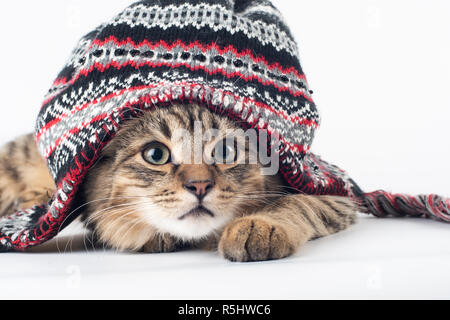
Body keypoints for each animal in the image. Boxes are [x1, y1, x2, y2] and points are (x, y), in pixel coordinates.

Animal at [0, 105, 356, 262]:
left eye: (225, 151)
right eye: (156, 154)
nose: (199, 186)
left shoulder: (335, 191)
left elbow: (295, 203)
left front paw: (260, 226)